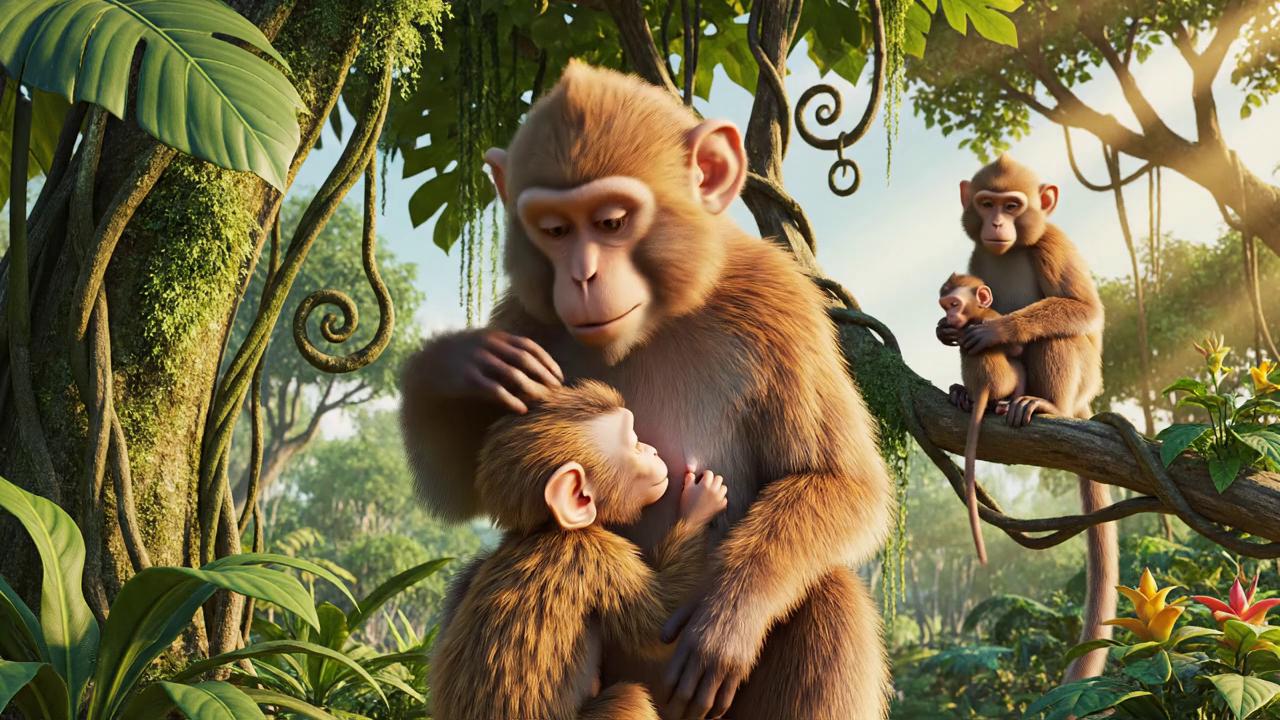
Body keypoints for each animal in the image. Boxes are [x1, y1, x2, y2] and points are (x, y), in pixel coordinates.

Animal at [429, 380, 729, 720]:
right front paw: (698, 504)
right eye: (634, 443)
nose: (652, 450)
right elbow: (661, 623)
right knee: (629, 699)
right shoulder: (595, 555)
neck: (551, 530)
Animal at [936, 154, 1114, 681]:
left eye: (1013, 205)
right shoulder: (976, 260)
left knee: (1058, 334)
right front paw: (947, 332)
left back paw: (1043, 405)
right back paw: (966, 393)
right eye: (986, 203)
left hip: (1082, 381)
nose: (996, 224)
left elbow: (1084, 309)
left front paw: (997, 329)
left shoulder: (1054, 242)